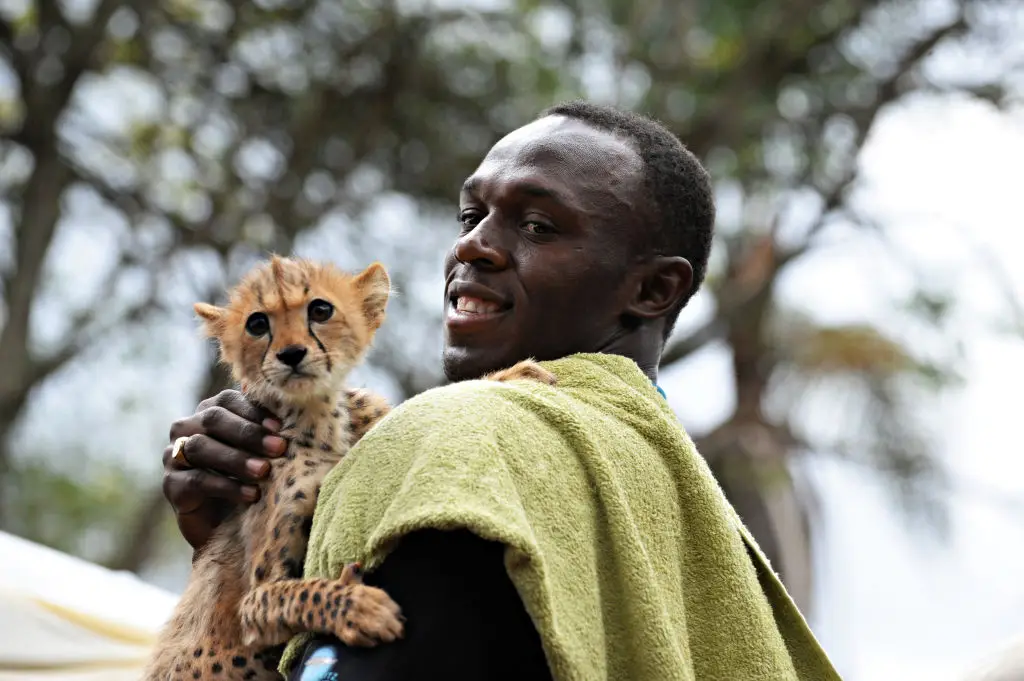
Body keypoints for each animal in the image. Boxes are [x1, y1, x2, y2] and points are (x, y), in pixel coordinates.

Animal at [144, 255, 556, 680]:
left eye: (320, 310)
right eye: (257, 324)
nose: (291, 354)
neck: (322, 419)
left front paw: (510, 374)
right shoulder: (255, 602)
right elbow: (299, 592)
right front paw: (360, 606)